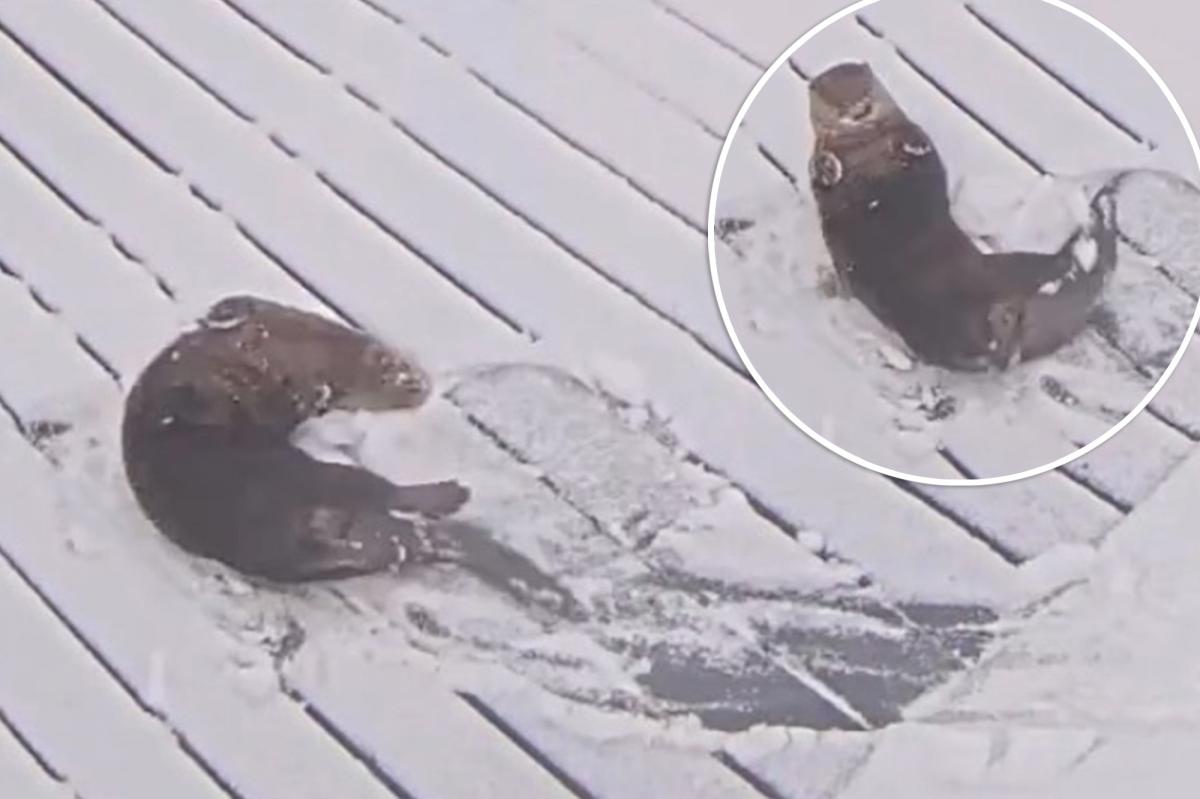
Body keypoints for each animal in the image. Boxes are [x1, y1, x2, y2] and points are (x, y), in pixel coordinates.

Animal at [808, 62, 1117, 370]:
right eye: (834, 96)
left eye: (865, 85)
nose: (859, 108)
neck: (867, 146)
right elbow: (819, 177)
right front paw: (826, 166)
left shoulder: (909, 134)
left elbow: (922, 149)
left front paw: (912, 146)